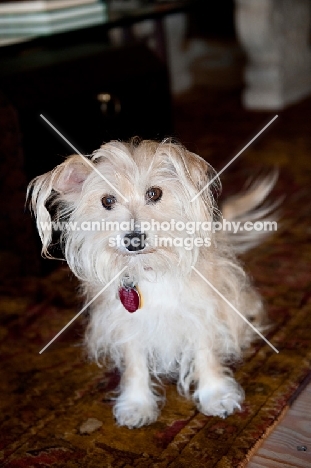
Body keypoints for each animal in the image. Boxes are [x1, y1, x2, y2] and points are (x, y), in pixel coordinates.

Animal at [28, 138, 278, 428]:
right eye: (107, 201)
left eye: (154, 194)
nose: (133, 239)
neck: (149, 269)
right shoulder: (128, 325)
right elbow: (135, 365)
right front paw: (136, 404)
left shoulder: (202, 313)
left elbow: (206, 355)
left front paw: (215, 395)